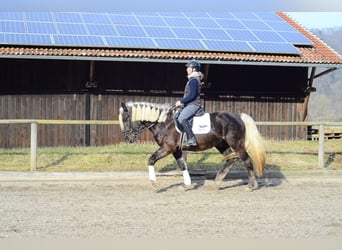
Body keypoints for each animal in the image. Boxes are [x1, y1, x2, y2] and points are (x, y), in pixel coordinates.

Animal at [119, 100, 266, 190]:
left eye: (126, 119)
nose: (128, 138)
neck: (163, 122)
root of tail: (238, 117)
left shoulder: (167, 148)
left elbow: (151, 160)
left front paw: (154, 184)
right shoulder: (176, 150)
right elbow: (182, 165)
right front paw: (187, 184)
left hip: (236, 143)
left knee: (246, 160)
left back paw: (251, 185)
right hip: (221, 144)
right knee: (232, 159)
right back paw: (218, 181)